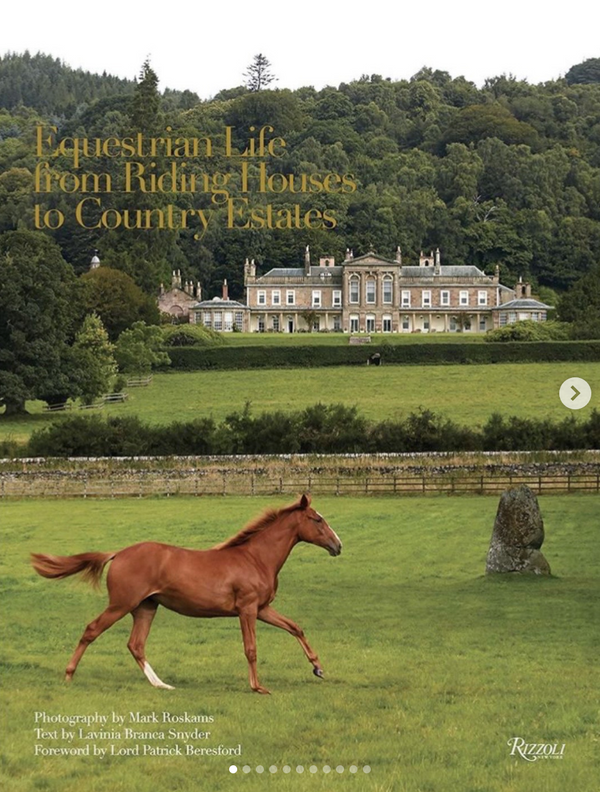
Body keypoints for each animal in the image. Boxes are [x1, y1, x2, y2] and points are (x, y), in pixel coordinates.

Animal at [30, 494, 342, 694]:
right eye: (317, 520)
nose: (338, 546)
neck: (255, 558)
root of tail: (117, 554)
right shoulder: (248, 609)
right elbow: (251, 649)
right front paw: (258, 687)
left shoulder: (263, 608)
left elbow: (295, 627)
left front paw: (318, 668)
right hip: (121, 604)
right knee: (92, 630)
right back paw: (69, 675)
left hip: (146, 607)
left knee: (136, 644)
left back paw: (161, 684)